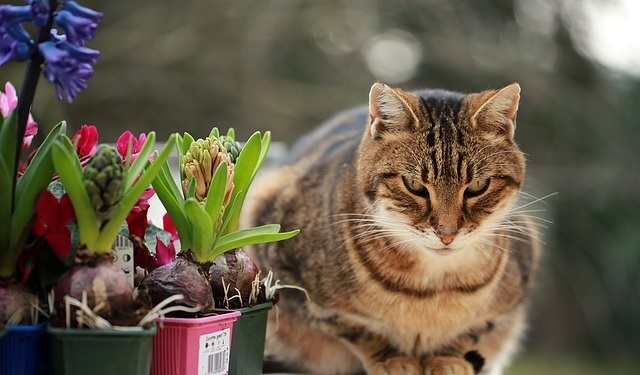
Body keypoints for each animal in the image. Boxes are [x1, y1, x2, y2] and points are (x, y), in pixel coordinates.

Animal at [242, 83, 544, 375]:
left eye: (478, 186)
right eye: (414, 185)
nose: (447, 233)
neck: (429, 289)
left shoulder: (507, 301)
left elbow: (471, 332)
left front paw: (446, 358)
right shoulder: (288, 272)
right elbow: (354, 329)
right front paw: (391, 359)